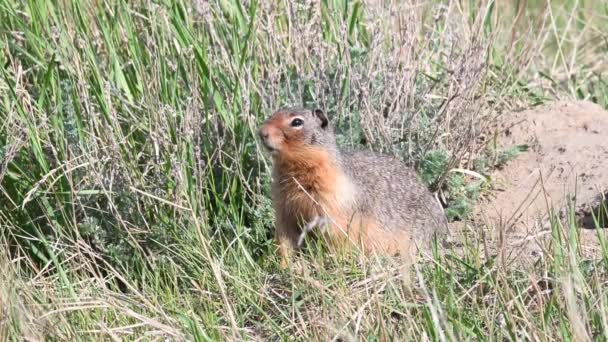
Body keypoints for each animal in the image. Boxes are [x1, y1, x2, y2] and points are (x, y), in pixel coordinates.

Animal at [256, 107, 446, 268]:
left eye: (296, 122)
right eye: (274, 113)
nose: (261, 132)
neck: (295, 170)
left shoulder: (332, 208)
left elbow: (336, 237)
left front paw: (332, 260)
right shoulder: (284, 210)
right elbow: (285, 240)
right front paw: (283, 266)